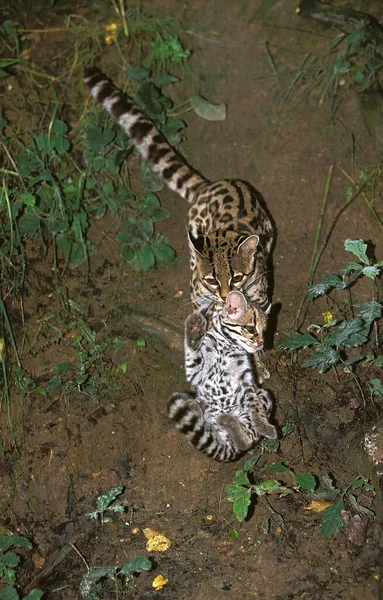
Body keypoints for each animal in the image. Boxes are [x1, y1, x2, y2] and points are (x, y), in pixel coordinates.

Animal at [84, 68, 276, 314]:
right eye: (212, 280)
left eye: (237, 278)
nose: (225, 297)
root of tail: (209, 185)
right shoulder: (201, 294)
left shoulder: (261, 301)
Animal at [168, 292, 276, 462]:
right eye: (251, 329)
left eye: (265, 331)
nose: (261, 343)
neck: (227, 346)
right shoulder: (197, 375)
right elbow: (193, 355)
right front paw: (194, 330)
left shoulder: (246, 382)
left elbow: (256, 407)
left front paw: (263, 424)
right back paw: (195, 406)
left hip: (263, 395)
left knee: (247, 441)